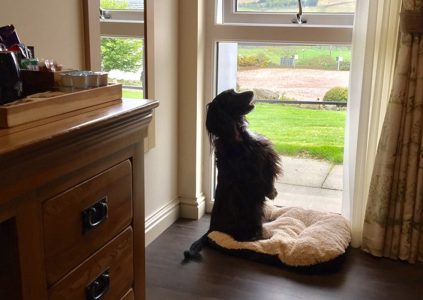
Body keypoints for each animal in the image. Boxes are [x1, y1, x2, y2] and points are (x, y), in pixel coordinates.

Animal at [185, 89, 282, 260]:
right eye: (231, 95)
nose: (252, 92)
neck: (235, 135)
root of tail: (211, 230)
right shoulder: (258, 168)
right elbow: (267, 179)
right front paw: (272, 193)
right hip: (252, 212)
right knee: (246, 237)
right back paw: (265, 235)